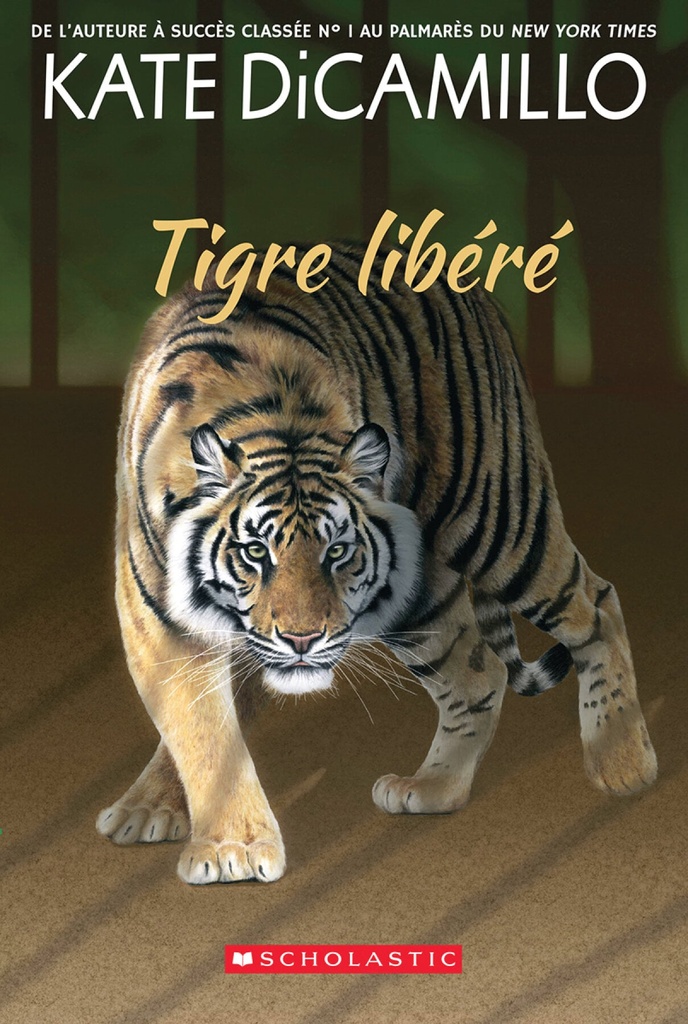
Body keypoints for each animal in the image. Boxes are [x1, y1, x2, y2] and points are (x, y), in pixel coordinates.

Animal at [97, 243, 657, 884]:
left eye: (337, 550)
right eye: (256, 551)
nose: (303, 640)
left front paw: (228, 848)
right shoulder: (161, 620)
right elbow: (204, 730)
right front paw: (201, 830)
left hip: (499, 520)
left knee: (596, 601)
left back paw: (623, 763)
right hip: (421, 598)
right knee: (480, 672)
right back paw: (434, 787)